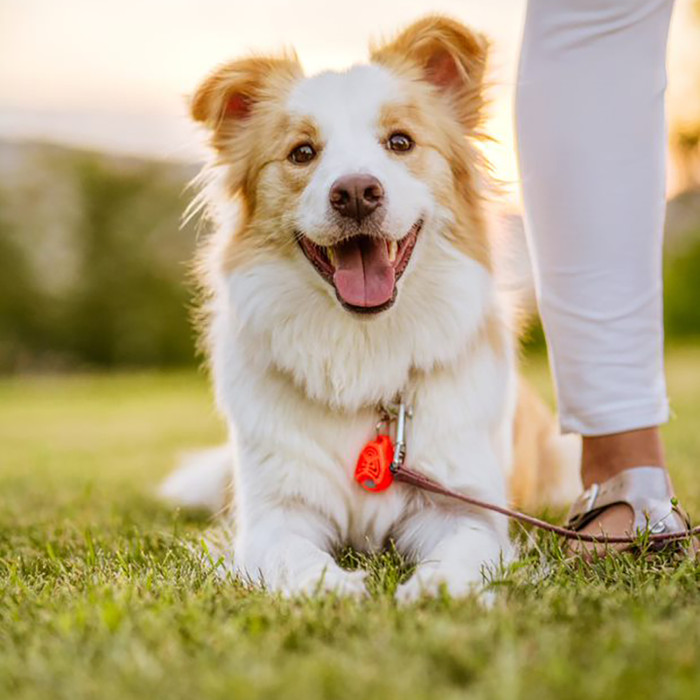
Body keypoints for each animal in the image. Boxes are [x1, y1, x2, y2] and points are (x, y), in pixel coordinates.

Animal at [163, 13, 580, 600]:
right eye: (302, 152)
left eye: (400, 142)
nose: (357, 192)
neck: (361, 346)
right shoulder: (275, 516)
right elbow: (293, 558)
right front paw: (332, 589)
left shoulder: (462, 507)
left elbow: (460, 552)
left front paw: (435, 590)